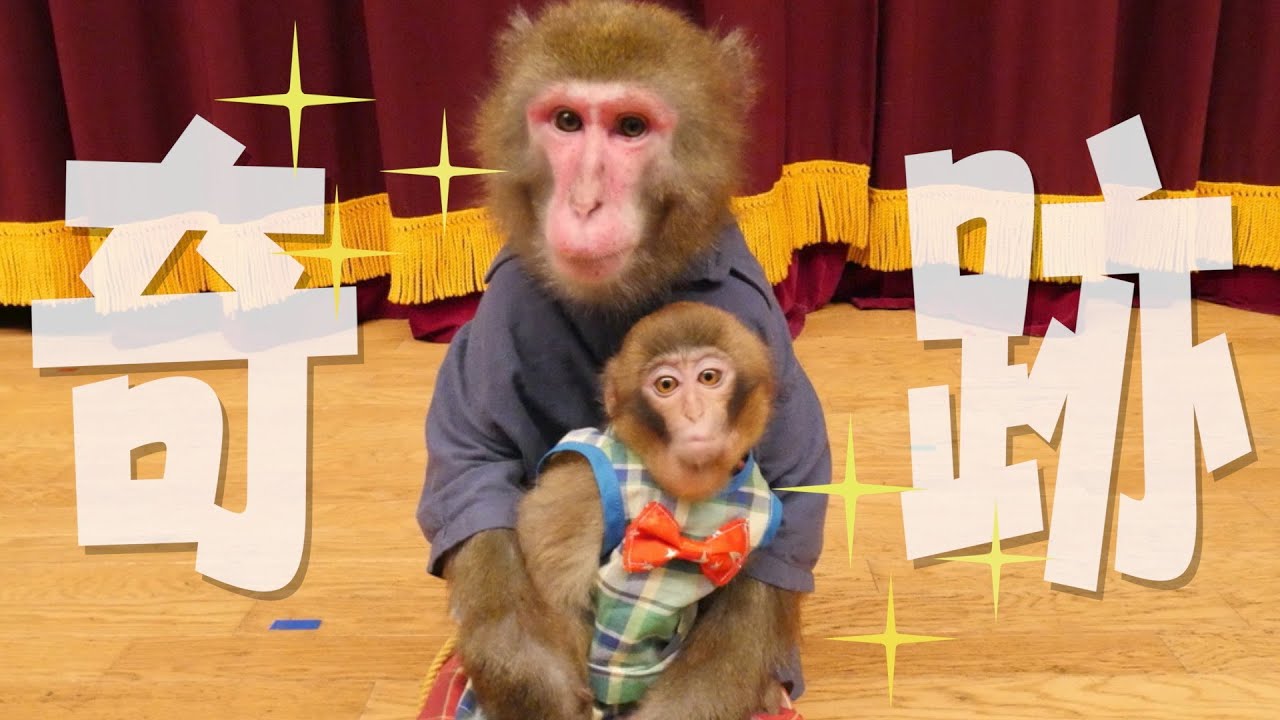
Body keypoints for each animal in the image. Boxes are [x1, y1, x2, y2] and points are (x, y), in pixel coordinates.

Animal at [419, 2, 832, 719]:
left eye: (631, 128)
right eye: (566, 122)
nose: (585, 203)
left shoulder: (754, 322)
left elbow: (785, 530)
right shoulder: (505, 305)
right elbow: (472, 469)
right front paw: (536, 691)